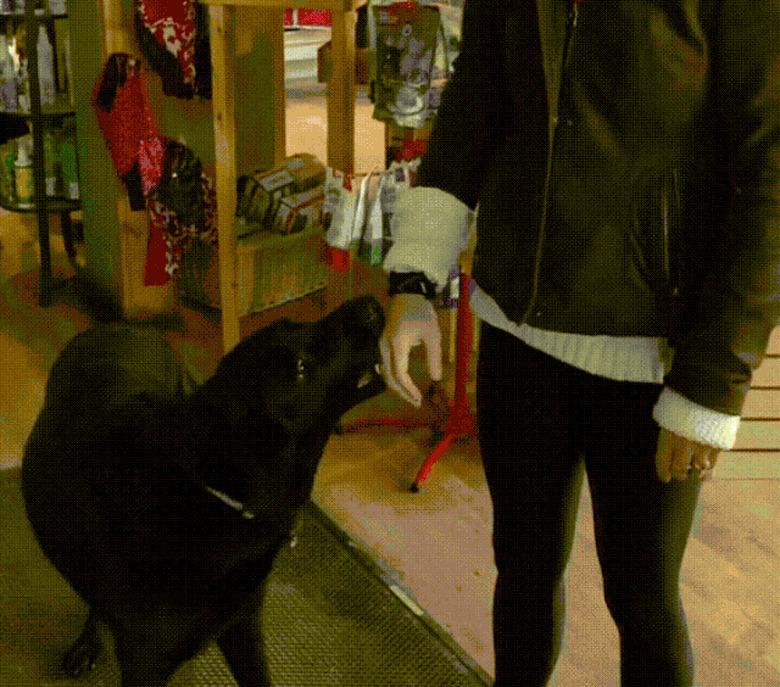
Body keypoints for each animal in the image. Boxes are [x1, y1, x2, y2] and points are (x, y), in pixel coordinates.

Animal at [22, 298, 388, 687]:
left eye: (293, 322)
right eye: (302, 367)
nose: (369, 303)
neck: (222, 496)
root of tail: (123, 325)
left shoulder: (242, 627)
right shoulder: (146, 664)